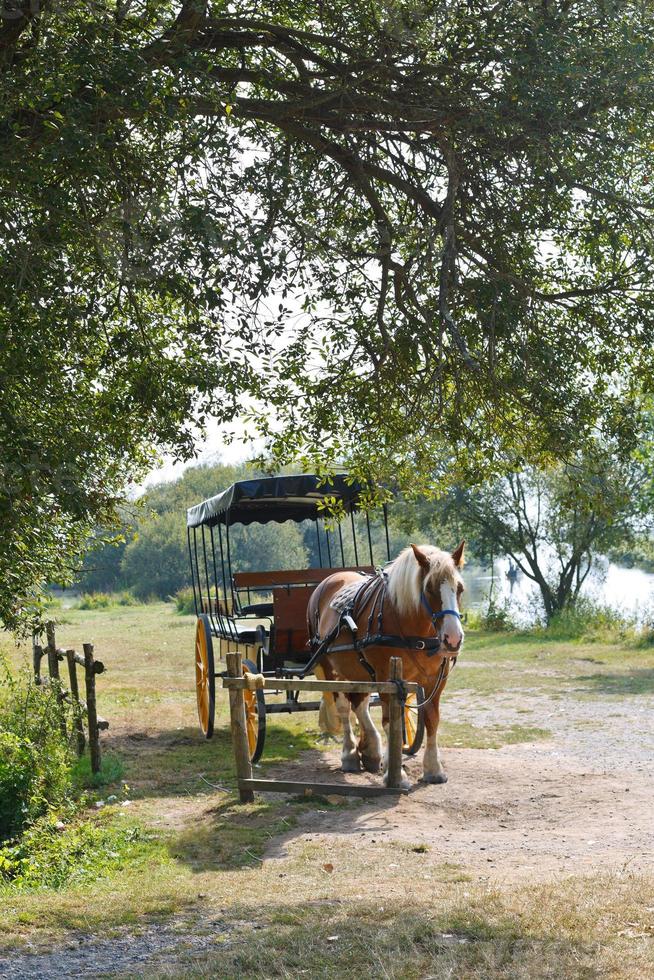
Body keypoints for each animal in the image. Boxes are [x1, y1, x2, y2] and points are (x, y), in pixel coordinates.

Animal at [308, 544, 466, 788]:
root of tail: (329, 580)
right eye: (429, 588)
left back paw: (371, 750)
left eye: (459, 588)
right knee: (344, 707)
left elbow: (432, 720)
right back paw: (350, 754)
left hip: (358, 670)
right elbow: (391, 722)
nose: (453, 639)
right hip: (329, 669)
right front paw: (396, 774)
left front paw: (433, 769)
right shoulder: (387, 678)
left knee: (360, 705)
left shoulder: (435, 681)